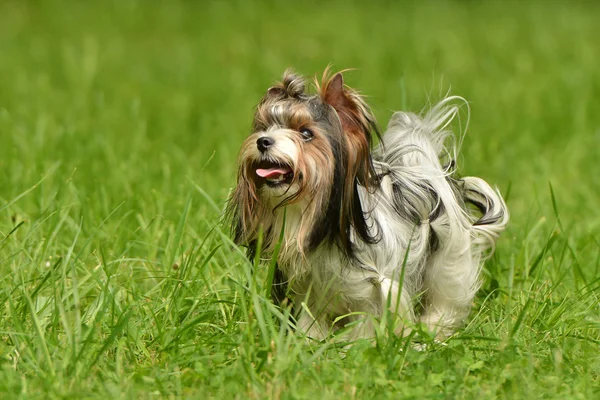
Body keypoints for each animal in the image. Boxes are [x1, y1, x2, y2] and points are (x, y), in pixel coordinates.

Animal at [227, 69, 508, 340]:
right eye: (265, 127)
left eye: (306, 133)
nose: (263, 141)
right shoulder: (308, 287)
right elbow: (311, 318)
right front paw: (310, 341)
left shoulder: (376, 286)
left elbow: (367, 319)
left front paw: (356, 345)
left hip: (449, 254)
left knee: (447, 294)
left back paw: (432, 329)